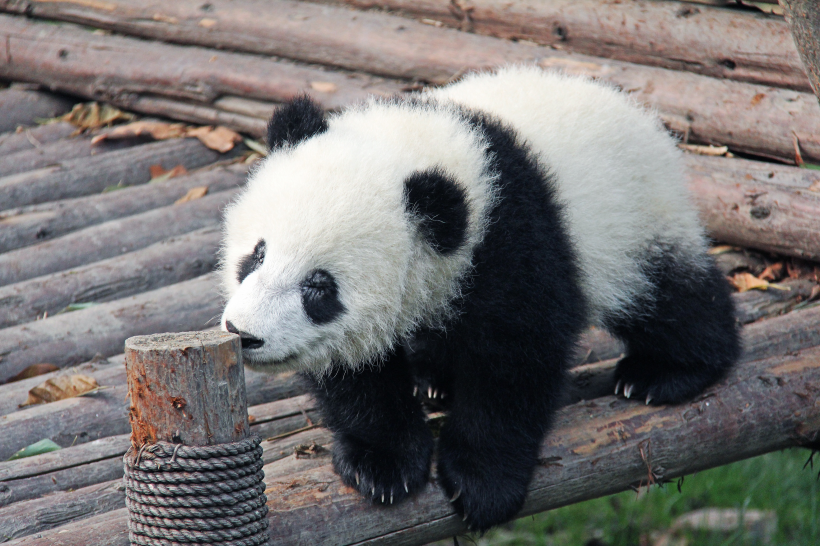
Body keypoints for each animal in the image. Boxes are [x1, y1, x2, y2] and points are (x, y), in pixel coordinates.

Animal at [221, 66, 740, 528]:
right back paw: (435, 378)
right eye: (257, 254)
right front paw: (383, 464)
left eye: (319, 287)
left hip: (634, 218)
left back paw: (664, 372)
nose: (244, 333)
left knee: (666, 296)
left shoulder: (512, 239)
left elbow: (514, 361)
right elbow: (357, 373)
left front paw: (481, 484)